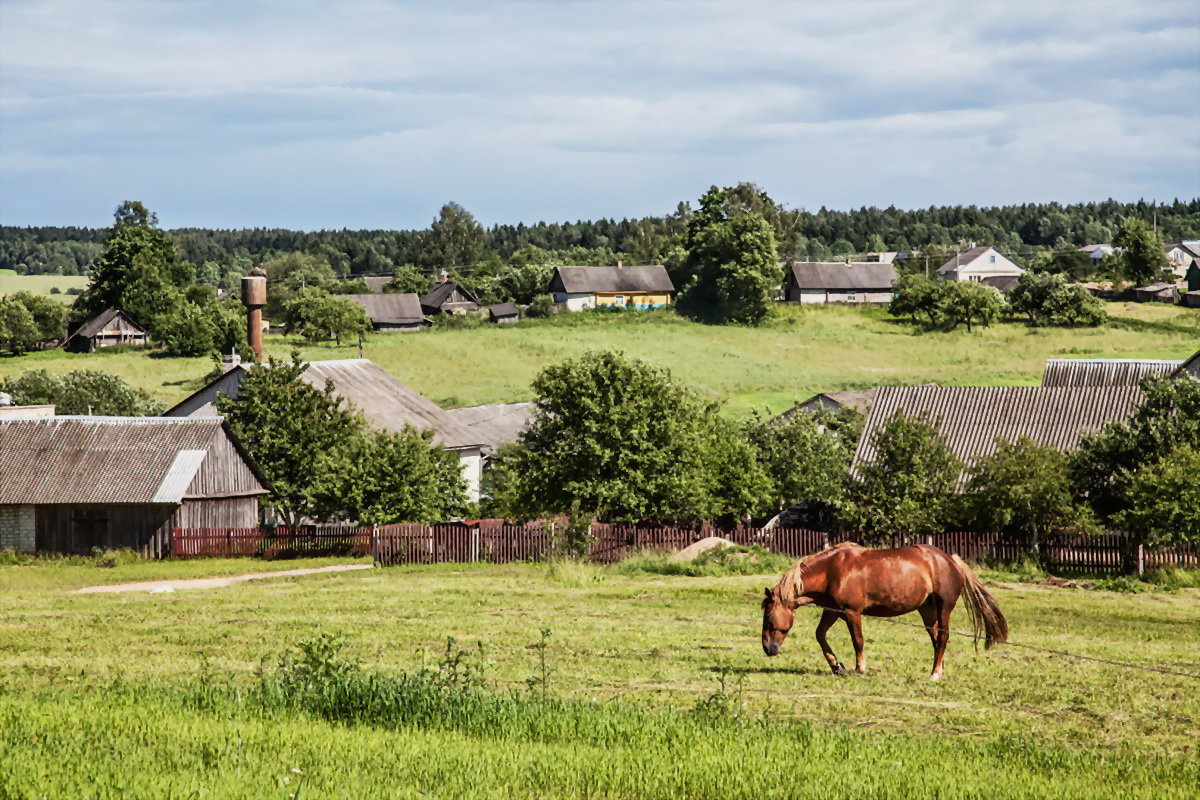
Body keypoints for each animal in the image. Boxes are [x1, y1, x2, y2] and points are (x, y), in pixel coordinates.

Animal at [763, 542, 1008, 681]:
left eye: (768, 619)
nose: (768, 649)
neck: (832, 570)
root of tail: (952, 560)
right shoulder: (833, 610)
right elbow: (820, 635)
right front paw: (837, 666)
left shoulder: (852, 612)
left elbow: (858, 641)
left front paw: (858, 669)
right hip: (927, 611)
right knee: (937, 639)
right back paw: (940, 670)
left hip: (943, 607)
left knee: (943, 637)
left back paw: (935, 674)